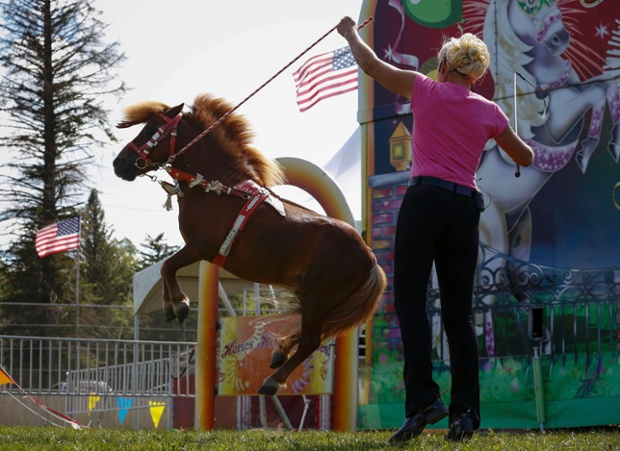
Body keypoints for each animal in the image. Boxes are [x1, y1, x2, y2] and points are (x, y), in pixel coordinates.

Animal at [111, 92, 382, 396]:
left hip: (319, 298)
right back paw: (279, 351)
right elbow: (167, 268)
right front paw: (171, 305)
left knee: (312, 340)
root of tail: (369, 256)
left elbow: (167, 266)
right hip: (324, 302)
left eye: (149, 130)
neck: (217, 190)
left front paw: (179, 304)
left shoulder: (202, 246)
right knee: (312, 335)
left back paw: (273, 380)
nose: (119, 163)